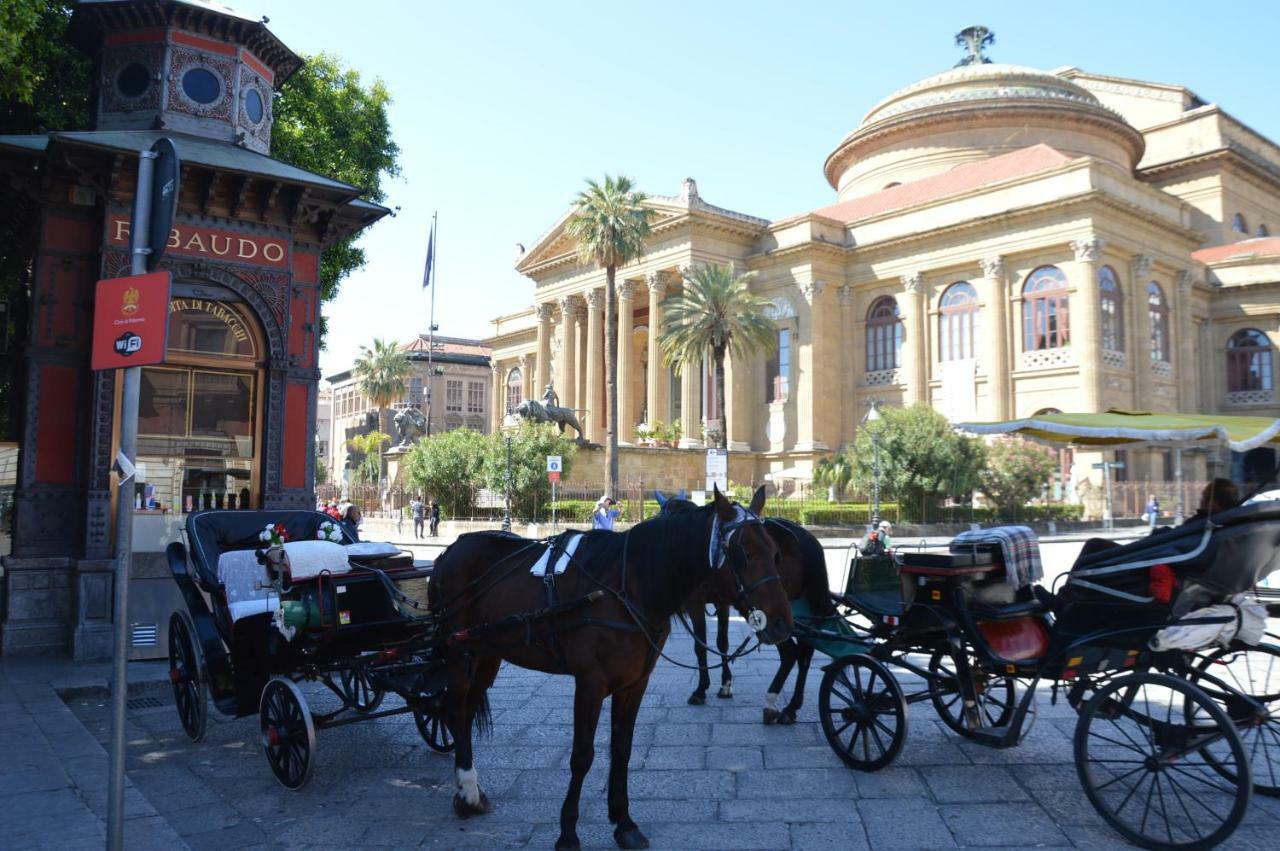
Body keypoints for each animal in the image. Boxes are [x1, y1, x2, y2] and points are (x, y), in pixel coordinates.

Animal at [430, 483, 788, 849]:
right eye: (744, 553)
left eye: (776, 553)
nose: (781, 624)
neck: (628, 587)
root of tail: (451, 550)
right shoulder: (590, 683)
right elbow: (582, 755)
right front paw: (568, 831)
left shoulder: (634, 684)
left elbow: (622, 749)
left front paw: (623, 821)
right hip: (457, 652)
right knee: (456, 708)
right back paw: (467, 789)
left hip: (487, 654)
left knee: (468, 710)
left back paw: (469, 788)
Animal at [660, 491, 839, 721]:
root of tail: (806, 541)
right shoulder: (723, 602)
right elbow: (722, 643)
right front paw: (725, 684)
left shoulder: (695, 603)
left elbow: (700, 646)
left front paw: (701, 689)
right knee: (805, 653)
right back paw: (792, 706)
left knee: (790, 652)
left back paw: (772, 701)